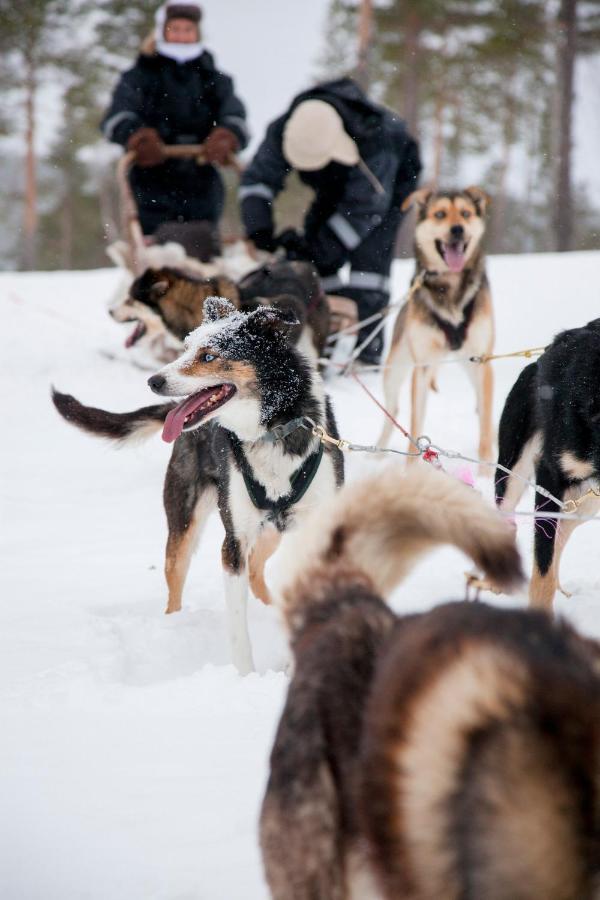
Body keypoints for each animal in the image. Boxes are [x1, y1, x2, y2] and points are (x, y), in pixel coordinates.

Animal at [52, 298, 342, 672]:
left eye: (208, 356)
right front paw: (245, 677)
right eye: (186, 348)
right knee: (177, 583)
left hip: (270, 532)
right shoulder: (233, 543)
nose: (153, 380)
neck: (272, 430)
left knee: (257, 570)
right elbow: (237, 629)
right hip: (185, 526)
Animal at [378, 185, 494, 464]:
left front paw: (485, 469)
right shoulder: (422, 366)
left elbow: (485, 429)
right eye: (440, 214)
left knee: (482, 408)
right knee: (392, 410)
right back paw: (374, 457)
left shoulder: (482, 360)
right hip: (394, 371)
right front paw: (411, 469)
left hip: (473, 367)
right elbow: (415, 429)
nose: (457, 229)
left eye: (465, 213)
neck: (450, 288)